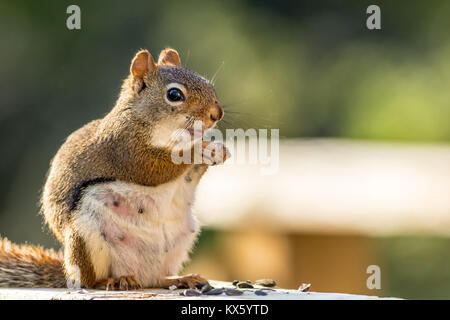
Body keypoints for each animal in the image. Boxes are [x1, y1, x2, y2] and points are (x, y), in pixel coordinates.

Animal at [0, 47, 230, 290]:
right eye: (174, 95)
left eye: (208, 84)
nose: (216, 114)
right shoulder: (124, 150)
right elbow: (155, 169)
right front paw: (198, 150)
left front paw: (218, 150)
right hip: (86, 236)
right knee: (90, 281)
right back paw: (114, 280)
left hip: (181, 241)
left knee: (157, 279)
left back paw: (182, 278)